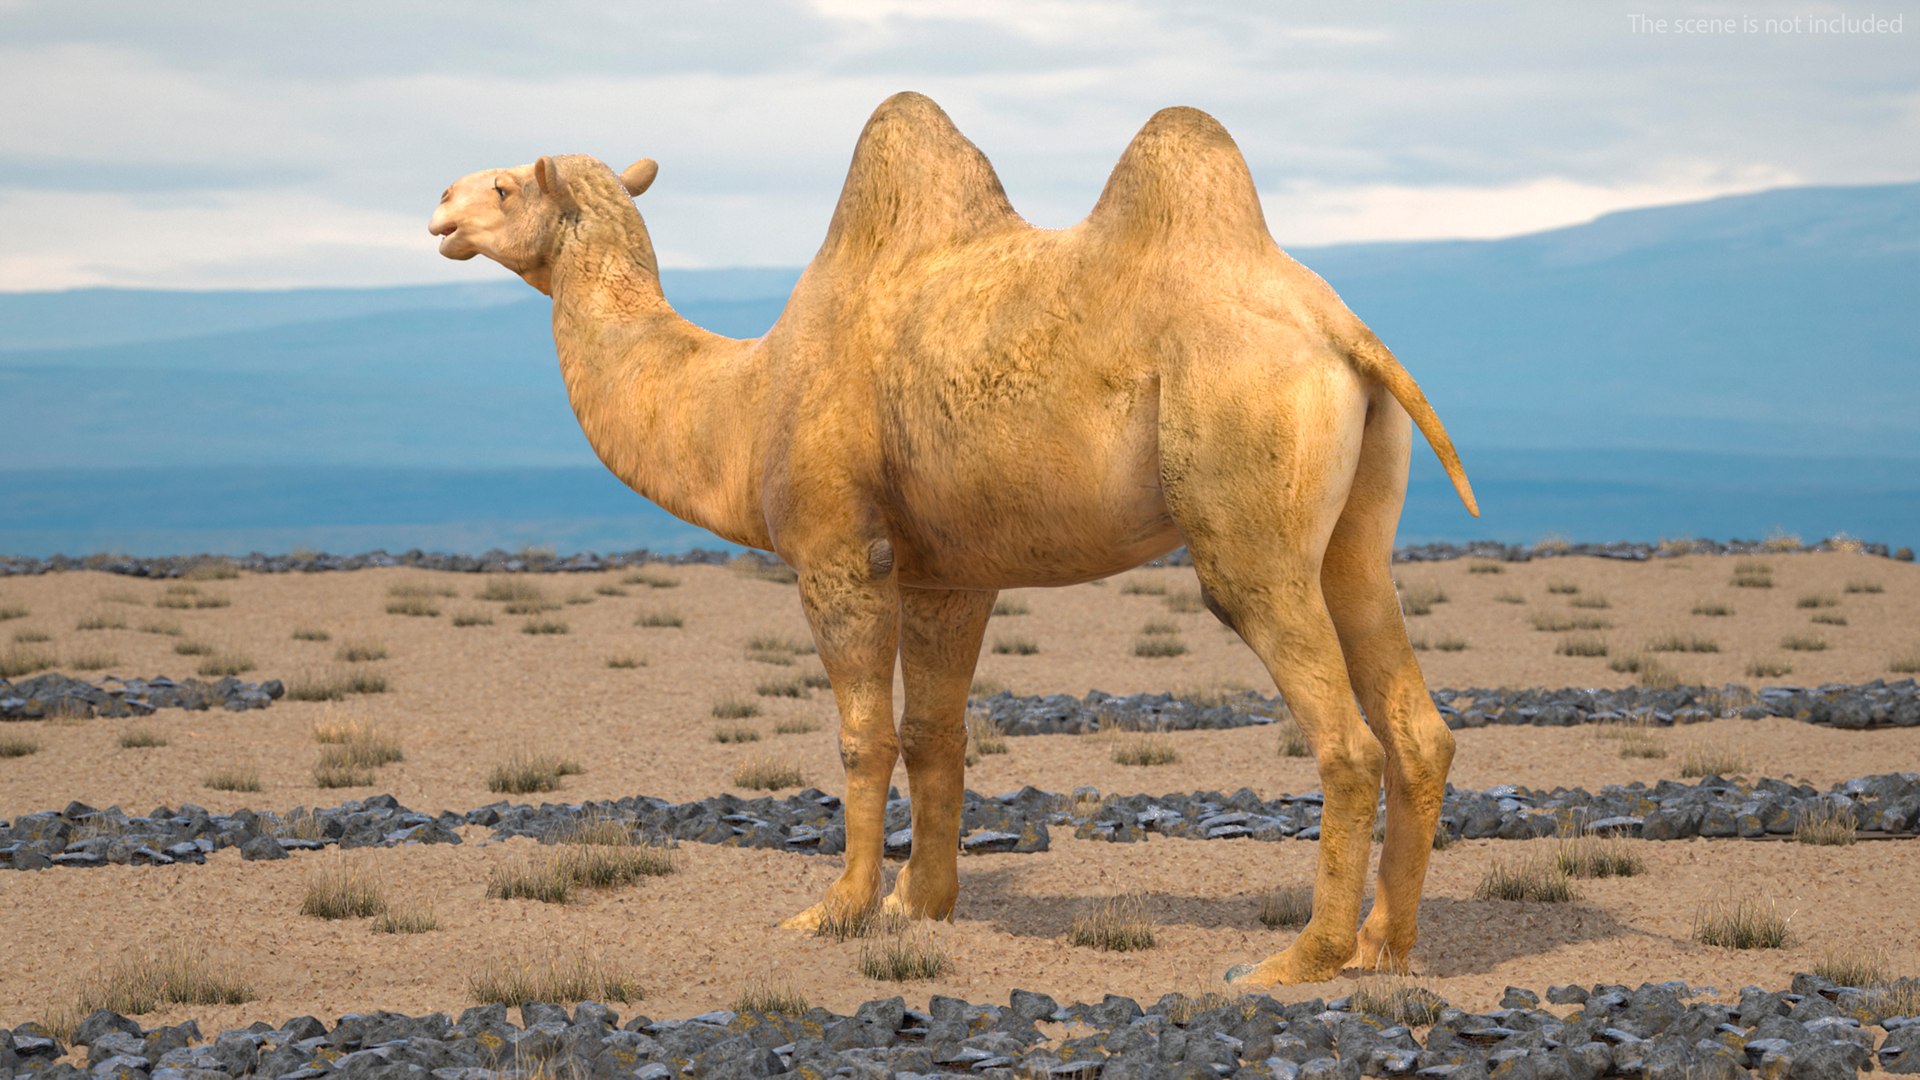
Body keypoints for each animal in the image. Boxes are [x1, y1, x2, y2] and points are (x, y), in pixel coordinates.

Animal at [427, 92, 1477, 985]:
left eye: (507, 185)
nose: (439, 204)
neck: (744, 401)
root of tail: (1346, 334)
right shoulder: (949, 574)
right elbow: (937, 731)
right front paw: (917, 904)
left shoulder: (838, 549)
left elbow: (864, 735)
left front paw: (838, 909)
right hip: (1353, 528)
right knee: (1409, 709)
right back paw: (1384, 948)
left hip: (1243, 500)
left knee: (1341, 732)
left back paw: (1299, 961)